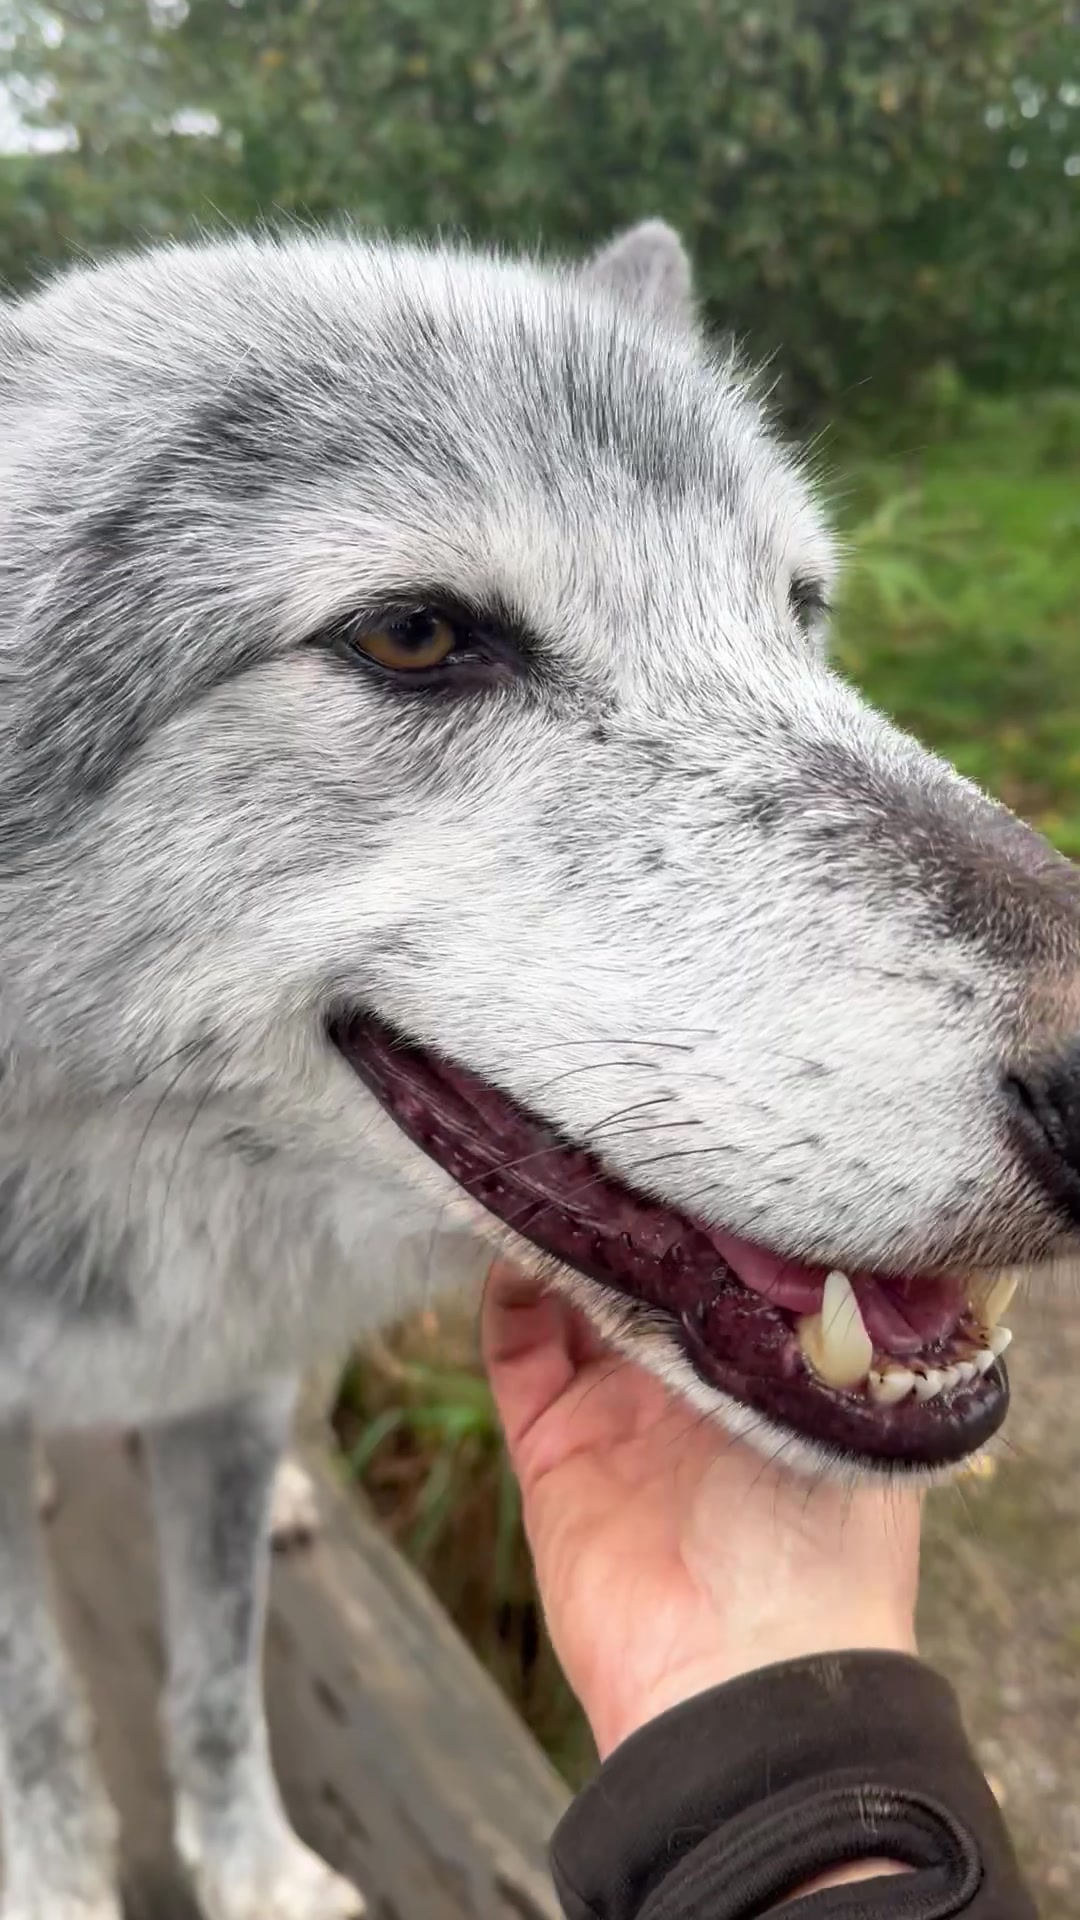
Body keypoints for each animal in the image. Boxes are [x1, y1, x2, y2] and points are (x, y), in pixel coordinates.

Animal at [1, 219, 1079, 1918]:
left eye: (798, 611)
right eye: (414, 635)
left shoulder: (225, 1377)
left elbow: (219, 1674)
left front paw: (255, 1875)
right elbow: (42, 1711)